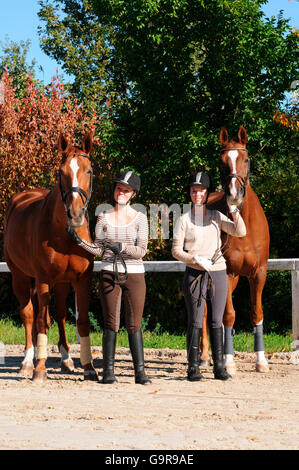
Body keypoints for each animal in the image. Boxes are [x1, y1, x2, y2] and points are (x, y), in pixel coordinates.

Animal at [3, 132, 97, 382]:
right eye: (60, 172)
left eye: (89, 171)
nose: (75, 214)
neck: (64, 235)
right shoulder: (43, 279)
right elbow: (41, 322)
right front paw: (40, 369)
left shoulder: (82, 279)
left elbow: (82, 322)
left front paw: (89, 368)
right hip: (20, 277)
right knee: (29, 315)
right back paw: (28, 361)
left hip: (61, 282)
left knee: (61, 315)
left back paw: (66, 360)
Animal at [202, 126, 272, 374]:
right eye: (221, 161)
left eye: (246, 159)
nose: (234, 194)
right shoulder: (228, 272)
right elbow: (229, 315)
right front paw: (229, 362)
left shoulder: (258, 273)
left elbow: (256, 312)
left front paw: (261, 361)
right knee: (207, 311)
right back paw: (205, 357)